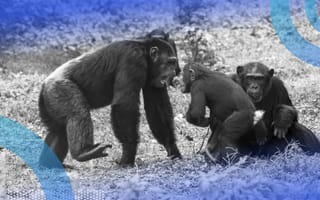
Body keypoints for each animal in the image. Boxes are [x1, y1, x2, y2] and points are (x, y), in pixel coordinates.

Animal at [38, 38, 181, 168]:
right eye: (170, 62)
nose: (174, 72)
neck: (145, 54)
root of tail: (44, 86)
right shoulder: (133, 60)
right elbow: (124, 105)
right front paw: (128, 154)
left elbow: (157, 107)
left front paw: (172, 148)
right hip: (60, 89)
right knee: (77, 113)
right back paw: (83, 152)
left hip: (50, 102)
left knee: (59, 131)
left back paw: (49, 163)